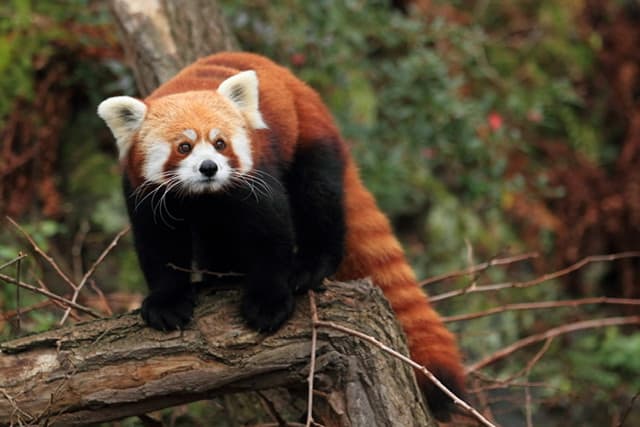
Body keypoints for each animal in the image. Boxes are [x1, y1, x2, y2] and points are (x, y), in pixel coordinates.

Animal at [96, 51, 464, 420]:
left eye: (220, 143)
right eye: (184, 147)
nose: (209, 168)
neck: (204, 196)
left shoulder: (255, 178)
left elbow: (270, 236)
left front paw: (268, 302)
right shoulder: (146, 194)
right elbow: (159, 247)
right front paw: (167, 303)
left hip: (308, 136)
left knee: (318, 197)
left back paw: (311, 266)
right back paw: (221, 278)